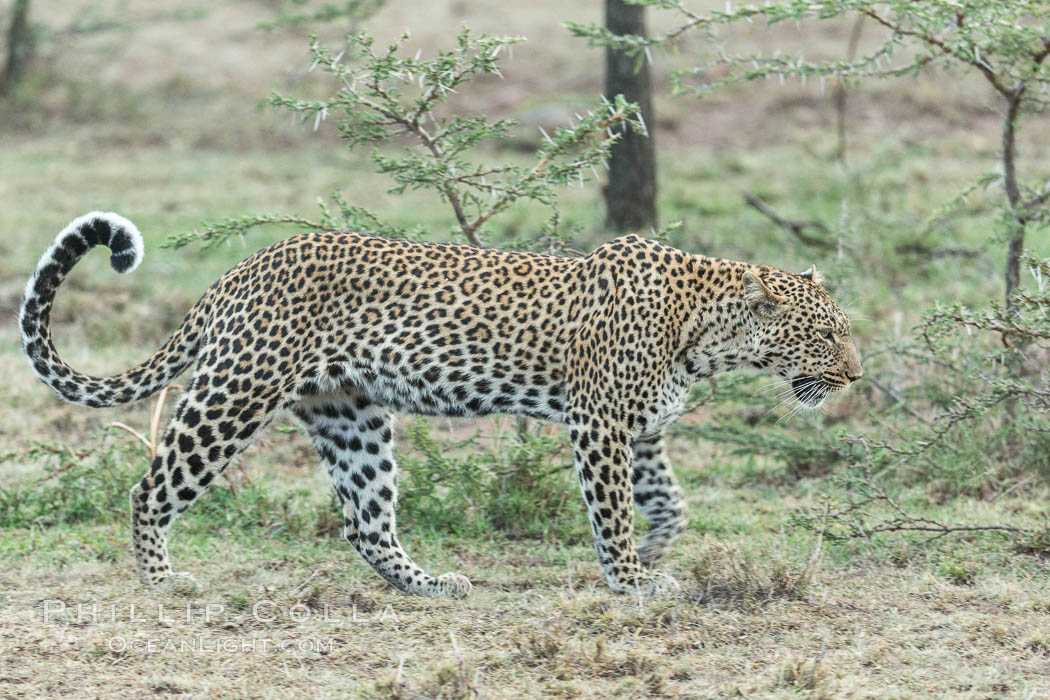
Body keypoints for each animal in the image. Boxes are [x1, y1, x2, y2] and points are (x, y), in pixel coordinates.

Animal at [20, 210, 865, 600]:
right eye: (827, 334)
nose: (856, 376)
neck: (703, 331)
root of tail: (241, 268)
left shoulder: (643, 431)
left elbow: (671, 504)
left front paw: (655, 559)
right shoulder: (598, 425)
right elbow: (613, 511)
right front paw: (629, 579)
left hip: (352, 416)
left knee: (365, 521)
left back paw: (427, 585)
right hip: (236, 393)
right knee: (150, 486)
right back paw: (162, 580)